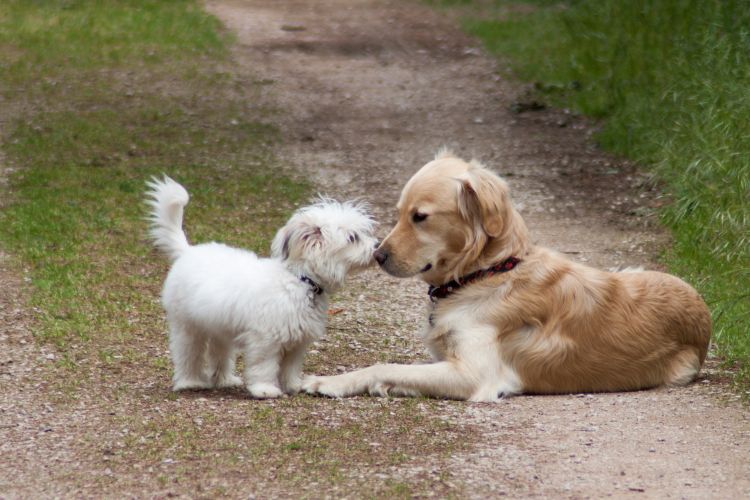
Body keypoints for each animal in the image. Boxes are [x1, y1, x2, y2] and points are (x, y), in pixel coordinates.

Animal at [145, 176, 376, 398]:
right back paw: (190, 382)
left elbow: (290, 368)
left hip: (220, 327)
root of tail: (187, 251)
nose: (376, 246)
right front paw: (265, 390)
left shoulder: (296, 343)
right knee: (188, 353)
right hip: (188, 326)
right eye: (353, 237)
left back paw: (224, 380)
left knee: (219, 353)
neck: (300, 280)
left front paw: (292, 386)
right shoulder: (266, 341)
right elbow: (264, 367)